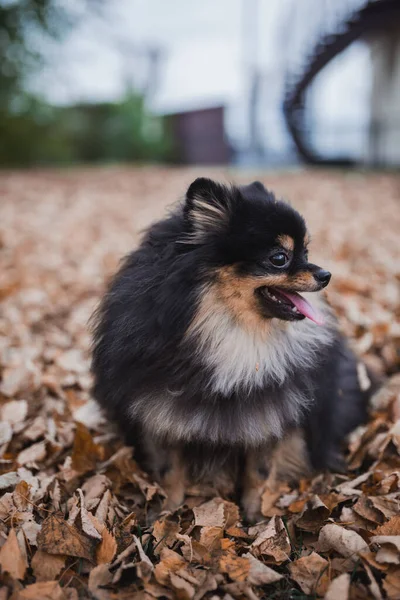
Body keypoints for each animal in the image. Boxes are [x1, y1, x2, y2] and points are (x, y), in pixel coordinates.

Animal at [91, 178, 372, 520]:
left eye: (306, 251)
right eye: (279, 257)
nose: (326, 275)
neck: (233, 334)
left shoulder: (270, 415)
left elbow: (259, 472)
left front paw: (254, 515)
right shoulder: (159, 412)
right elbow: (170, 471)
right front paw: (168, 510)